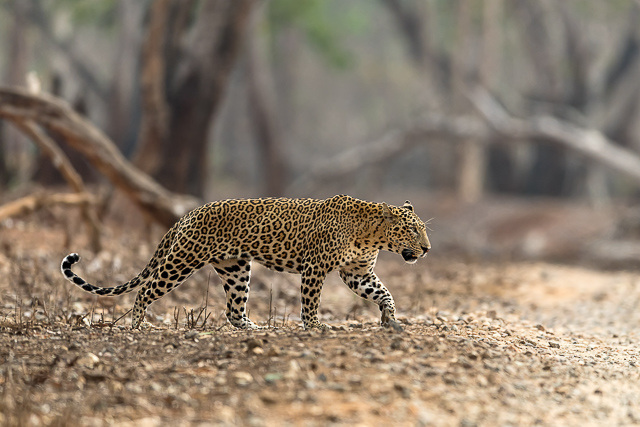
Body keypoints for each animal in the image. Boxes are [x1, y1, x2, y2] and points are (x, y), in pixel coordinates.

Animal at [61, 195, 430, 332]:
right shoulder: (315, 269)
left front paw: (390, 319)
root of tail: (188, 214)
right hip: (182, 260)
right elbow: (310, 303)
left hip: (236, 269)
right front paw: (314, 327)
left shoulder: (358, 273)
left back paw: (253, 328)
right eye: (413, 230)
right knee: (146, 289)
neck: (370, 234)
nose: (427, 249)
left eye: (422, 229)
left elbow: (384, 293)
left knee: (232, 310)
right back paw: (137, 324)